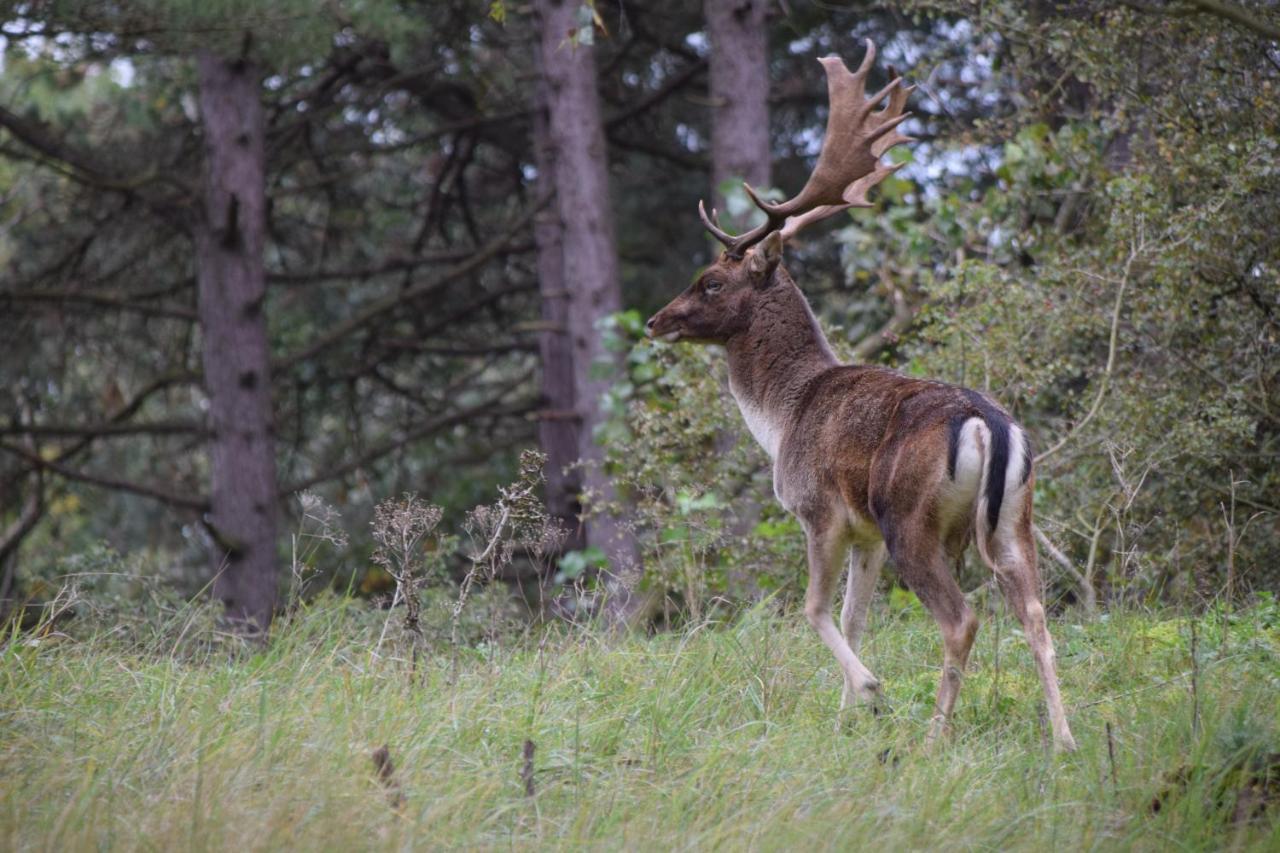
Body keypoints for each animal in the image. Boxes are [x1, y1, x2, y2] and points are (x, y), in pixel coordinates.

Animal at [645, 39, 1075, 747]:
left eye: (710, 282)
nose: (655, 320)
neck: (782, 416)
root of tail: (988, 423)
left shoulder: (818, 510)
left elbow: (814, 610)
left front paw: (870, 691)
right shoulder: (865, 535)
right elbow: (853, 618)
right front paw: (849, 716)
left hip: (911, 518)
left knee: (961, 619)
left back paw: (934, 736)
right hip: (1017, 518)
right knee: (1038, 617)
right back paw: (1064, 738)